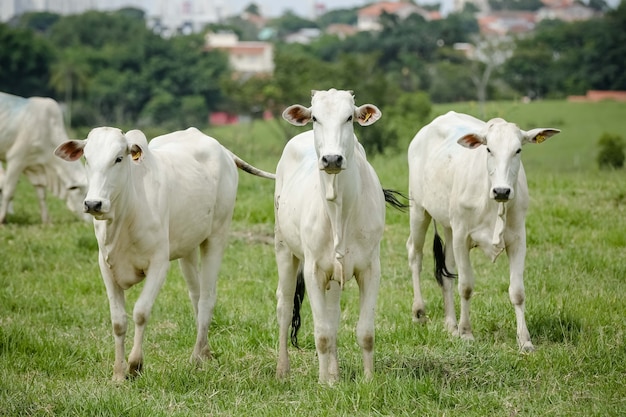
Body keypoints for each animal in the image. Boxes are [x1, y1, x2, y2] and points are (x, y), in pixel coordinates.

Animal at [0, 90, 89, 223]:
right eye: (84, 194)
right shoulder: (16, 160)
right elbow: (8, 191)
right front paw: (2, 219)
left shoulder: (37, 167)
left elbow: (41, 195)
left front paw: (47, 221)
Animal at [54, 126, 274, 380]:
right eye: (87, 159)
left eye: (118, 158)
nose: (93, 204)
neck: (125, 215)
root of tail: (223, 150)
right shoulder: (106, 266)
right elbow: (118, 321)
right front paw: (118, 374)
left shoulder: (159, 264)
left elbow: (141, 312)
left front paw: (135, 365)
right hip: (188, 248)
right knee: (196, 296)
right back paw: (205, 351)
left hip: (216, 236)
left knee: (207, 298)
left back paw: (196, 357)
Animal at [272, 89, 386, 382]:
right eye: (315, 117)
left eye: (349, 117)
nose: (332, 159)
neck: (339, 212)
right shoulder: (312, 269)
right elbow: (322, 334)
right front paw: (325, 383)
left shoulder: (370, 268)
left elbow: (365, 332)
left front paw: (367, 379)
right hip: (283, 249)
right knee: (285, 307)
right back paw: (283, 369)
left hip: (335, 273)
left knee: (332, 313)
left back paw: (334, 371)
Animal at [404, 111, 560, 352]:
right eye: (489, 149)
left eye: (518, 150)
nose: (502, 191)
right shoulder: (462, 237)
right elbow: (466, 286)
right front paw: (466, 333)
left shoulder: (518, 240)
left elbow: (517, 292)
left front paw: (525, 340)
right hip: (419, 210)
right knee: (415, 254)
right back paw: (419, 312)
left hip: (448, 227)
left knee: (446, 270)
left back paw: (451, 325)